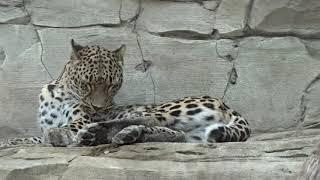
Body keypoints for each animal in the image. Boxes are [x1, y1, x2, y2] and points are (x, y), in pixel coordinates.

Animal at [0, 39, 250, 148]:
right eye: (87, 84)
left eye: (113, 85)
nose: (99, 108)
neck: (61, 93)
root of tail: (225, 103)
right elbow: (34, 136)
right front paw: (11, 141)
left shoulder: (82, 118)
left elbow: (67, 126)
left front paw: (59, 133)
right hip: (191, 132)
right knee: (174, 134)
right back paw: (125, 135)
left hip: (165, 108)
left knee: (147, 119)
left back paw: (99, 133)